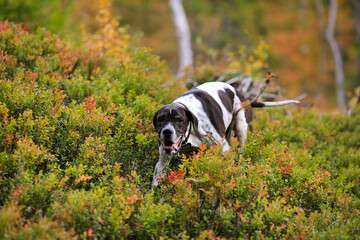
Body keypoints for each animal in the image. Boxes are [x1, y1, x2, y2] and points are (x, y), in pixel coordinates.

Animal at [152, 81, 298, 187]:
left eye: (179, 119)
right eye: (161, 119)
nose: (167, 131)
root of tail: (238, 91)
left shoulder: (223, 148)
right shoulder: (162, 163)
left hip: (241, 127)